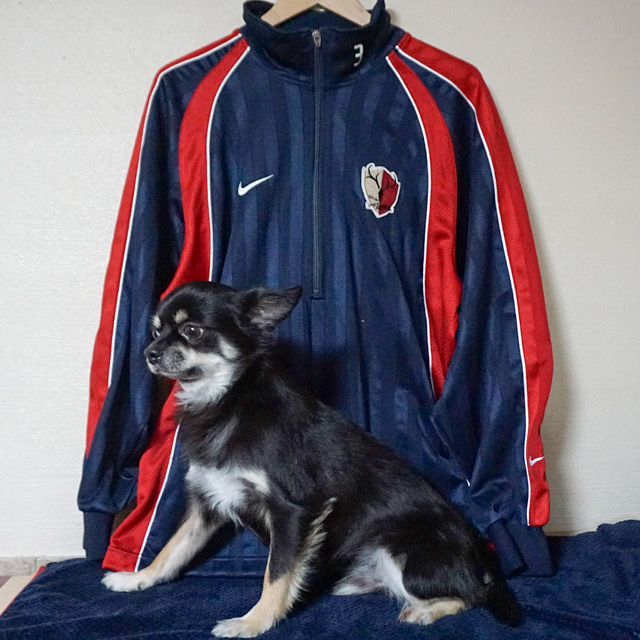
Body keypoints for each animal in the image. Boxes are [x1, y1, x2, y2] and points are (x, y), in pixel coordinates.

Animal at [102, 281, 521, 637]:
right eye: (155, 332)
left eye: (191, 331)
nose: (149, 353)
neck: (225, 402)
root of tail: (478, 554)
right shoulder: (207, 505)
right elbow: (172, 550)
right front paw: (138, 578)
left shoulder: (294, 511)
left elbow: (276, 573)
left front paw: (254, 622)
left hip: (400, 553)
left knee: (472, 595)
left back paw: (424, 610)